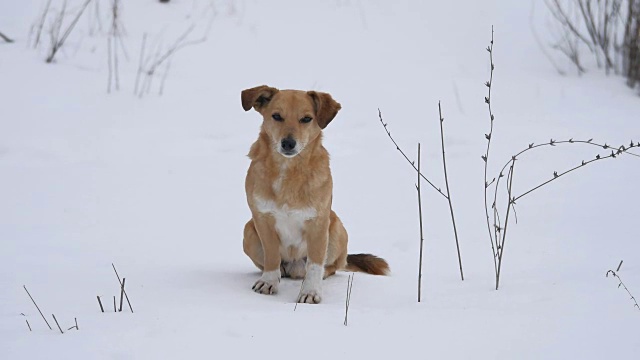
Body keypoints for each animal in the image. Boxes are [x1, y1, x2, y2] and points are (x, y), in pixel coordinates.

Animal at [241, 85, 388, 304]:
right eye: (276, 116)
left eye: (306, 119)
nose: (288, 143)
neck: (289, 171)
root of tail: (294, 267)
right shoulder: (262, 220)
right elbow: (272, 256)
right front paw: (268, 282)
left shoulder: (318, 223)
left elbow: (315, 264)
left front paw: (310, 292)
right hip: (248, 231)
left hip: (336, 229)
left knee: (332, 266)